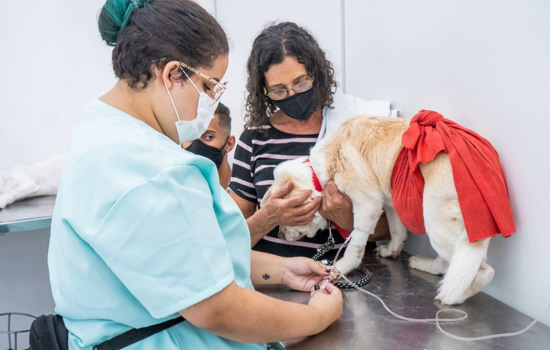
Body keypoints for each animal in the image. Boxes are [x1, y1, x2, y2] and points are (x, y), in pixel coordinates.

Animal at [266, 116, 496, 304]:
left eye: (289, 216)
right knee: (448, 264)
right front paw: (391, 251)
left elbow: (355, 243)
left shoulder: (368, 205)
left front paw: (343, 266)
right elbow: (396, 232)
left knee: (483, 271)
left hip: (436, 222)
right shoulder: (390, 202)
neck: (318, 171)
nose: (280, 235)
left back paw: (455, 298)